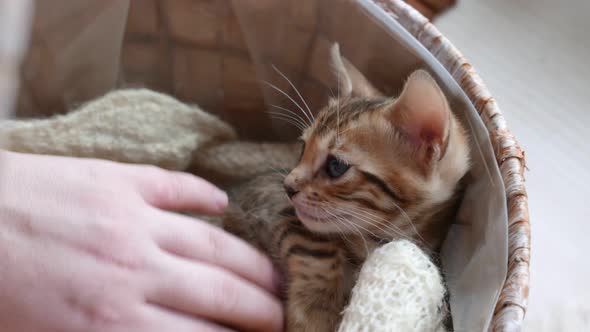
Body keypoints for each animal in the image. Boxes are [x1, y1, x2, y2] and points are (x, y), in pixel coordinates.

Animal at [219, 44, 472, 332]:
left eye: (336, 166)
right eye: (303, 148)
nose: (287, 186)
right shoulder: (268, 198)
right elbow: (317, 247)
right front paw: (317, 314)